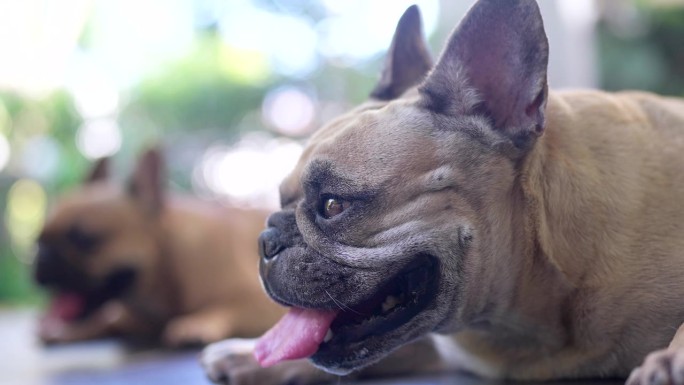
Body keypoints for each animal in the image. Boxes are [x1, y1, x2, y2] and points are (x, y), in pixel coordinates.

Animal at [33, 148, 284, 344]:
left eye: (85, 239)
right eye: (38, 240)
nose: (43, 257)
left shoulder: (256, 301)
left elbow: (223, 306)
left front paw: (196, 323)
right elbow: (104, 318)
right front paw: (67, 331)